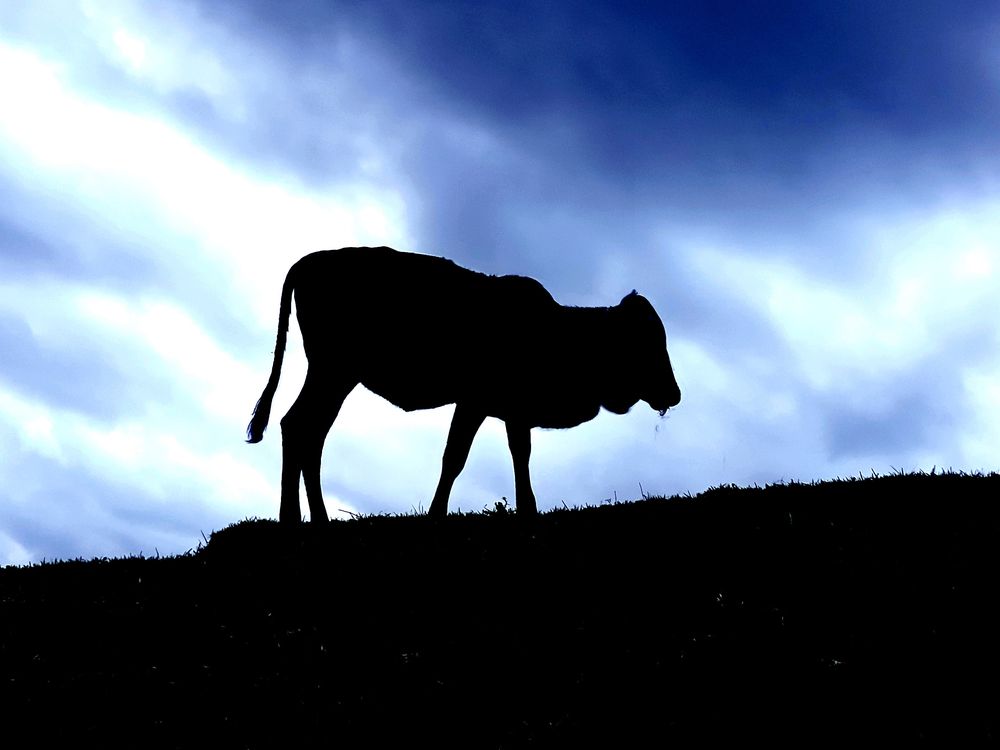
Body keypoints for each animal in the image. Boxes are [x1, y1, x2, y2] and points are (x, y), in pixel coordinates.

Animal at [247, 247, 680, 524]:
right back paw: (295, 519)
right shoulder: (474, 402)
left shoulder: (513, 412)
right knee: (300, 427)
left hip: (334, 375)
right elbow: (454, 458)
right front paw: (437, 514)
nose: (674, 394)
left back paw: (312, 519)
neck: (557, 334)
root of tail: (311, 260)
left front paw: (528, 510)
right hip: (333, 371)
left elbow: (520, 455)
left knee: (307, 431)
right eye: (646, 343)